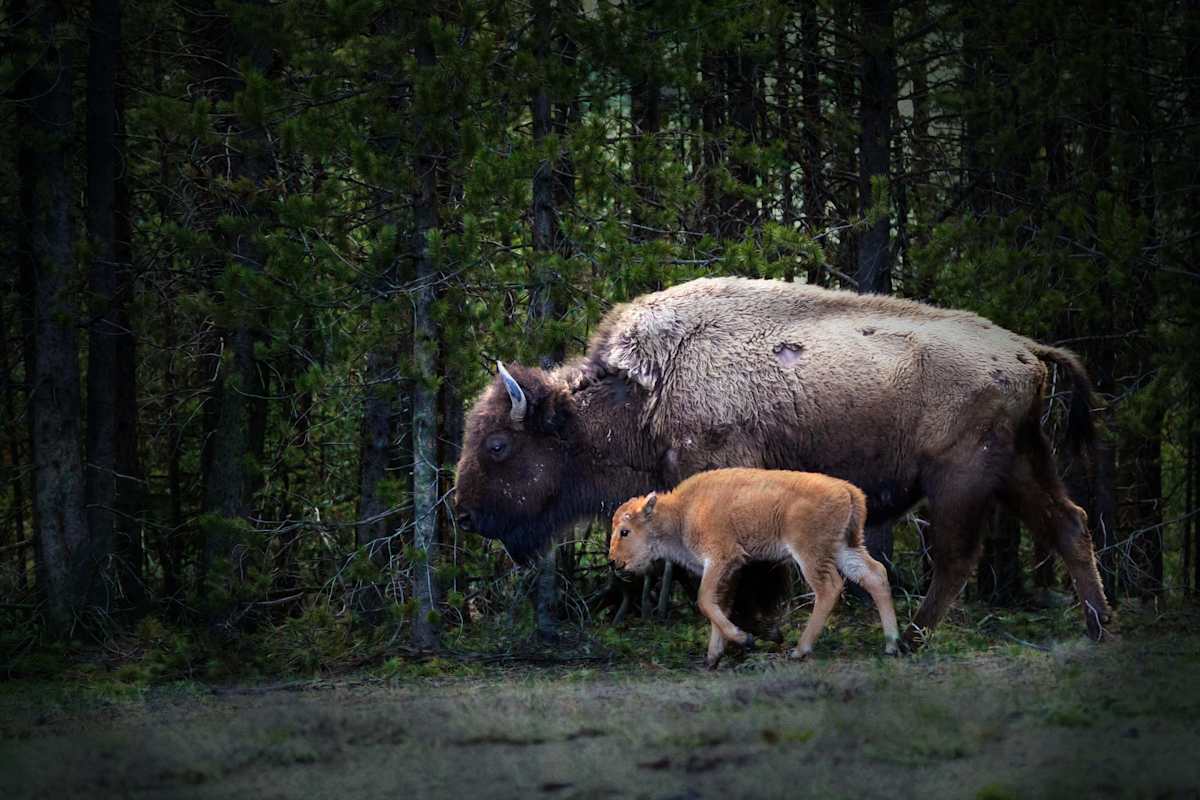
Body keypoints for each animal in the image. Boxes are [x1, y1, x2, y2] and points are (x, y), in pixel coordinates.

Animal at [610, 468, 900, 667]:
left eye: (625, 531)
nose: (613, 561)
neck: (683, 511)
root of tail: (848, 491)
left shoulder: (721, 559)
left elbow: (705, 600)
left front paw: (744, 640)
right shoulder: (729, 568)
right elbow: (719, 604)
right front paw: (712, 658)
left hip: (810, 554)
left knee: (829, 589)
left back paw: (800, 650)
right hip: (844, 548)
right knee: (875, 575)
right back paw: (892, 644)